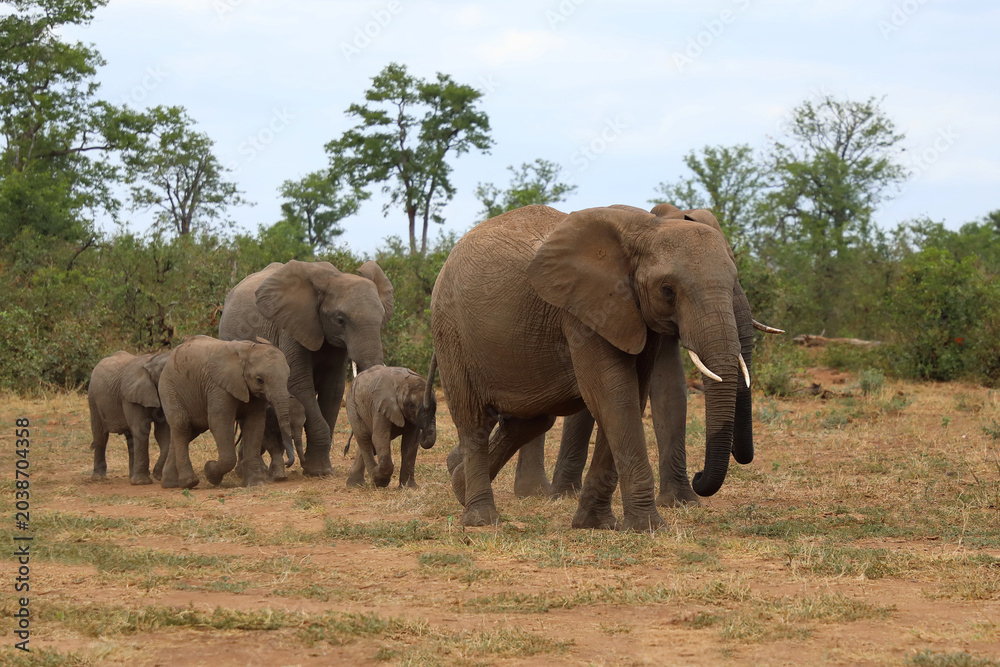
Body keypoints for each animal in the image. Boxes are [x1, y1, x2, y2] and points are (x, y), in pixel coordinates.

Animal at [87, 350, 172, 485]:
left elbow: (163, 433)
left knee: (130, 438)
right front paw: (142, 482)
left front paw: (158, 476)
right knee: (100, 436)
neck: (153, 360)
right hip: (93, 398)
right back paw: (98, 478)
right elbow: (142, 430)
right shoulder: (130, 396)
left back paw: (132, 476)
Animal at [158, 335, 292, 489]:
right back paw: (189, 482)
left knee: (188, 431)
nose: (287, 463)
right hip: (169, 388)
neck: (247, 350)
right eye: (260, 380)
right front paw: (210, 472)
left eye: (288, 378)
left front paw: (255, 483)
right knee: (182, 425)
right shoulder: (218, 387)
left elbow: (255, 425)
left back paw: (170, 483)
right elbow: (220, 423)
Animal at [218, 260, 394, 478]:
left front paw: (321, 469)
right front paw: (318, 471)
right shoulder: (291, 326)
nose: (348, 450)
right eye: (340, 320)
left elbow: (333, 390)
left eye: (382, 319)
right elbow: (300, 384)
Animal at [344, 356, 438, 488]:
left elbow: (411, 441)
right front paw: (381, 482)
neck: (402, 383)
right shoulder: (380, 406)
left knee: (368, 443)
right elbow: (380, 437)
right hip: (352, 406)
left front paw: (409, 488)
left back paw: (356, 484)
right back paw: (371, 477)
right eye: (411, 406)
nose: (423, 432)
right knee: (364, 438)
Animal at [431, 204, 751, 530]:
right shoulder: (586, 309)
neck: (648, 228)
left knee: (531, 420)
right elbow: (614, 395)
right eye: (667, 290)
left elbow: (630, 396)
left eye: (733, 281)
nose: (699, 476)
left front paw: (594, 524)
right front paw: (648, 527)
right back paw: (481, 519)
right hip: (451, 330)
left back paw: (459, 485)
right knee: (474, 420)